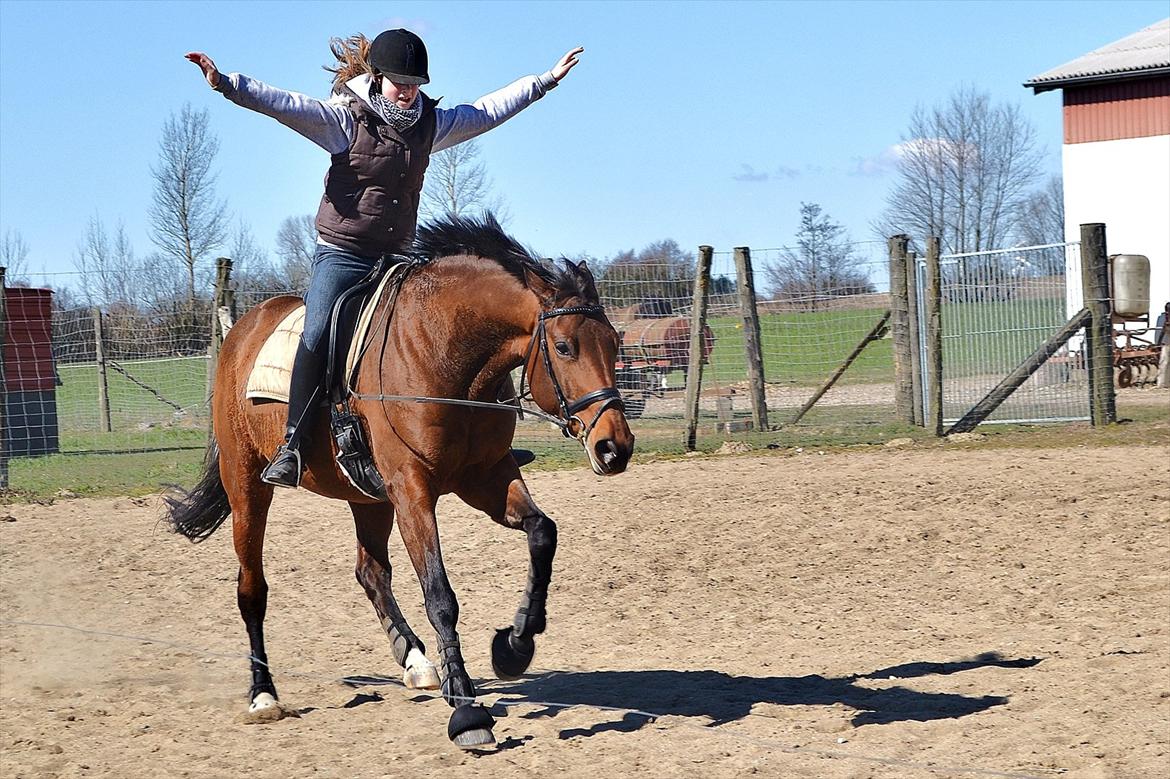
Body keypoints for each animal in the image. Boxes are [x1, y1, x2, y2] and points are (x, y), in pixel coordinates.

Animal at [164, 212, 631, 748]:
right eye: (564, 346)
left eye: (615, 343)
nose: (614, 447)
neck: (446, 352)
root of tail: (240, 332)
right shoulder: (412, 491)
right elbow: (440, 595)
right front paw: (467, 711)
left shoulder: (486, 478)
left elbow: (542, 533)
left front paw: (513, 646)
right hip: (248, 488)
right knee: (252, 589)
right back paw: (264, 694)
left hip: (368, 497)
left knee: (370, 572)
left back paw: (417, 662)